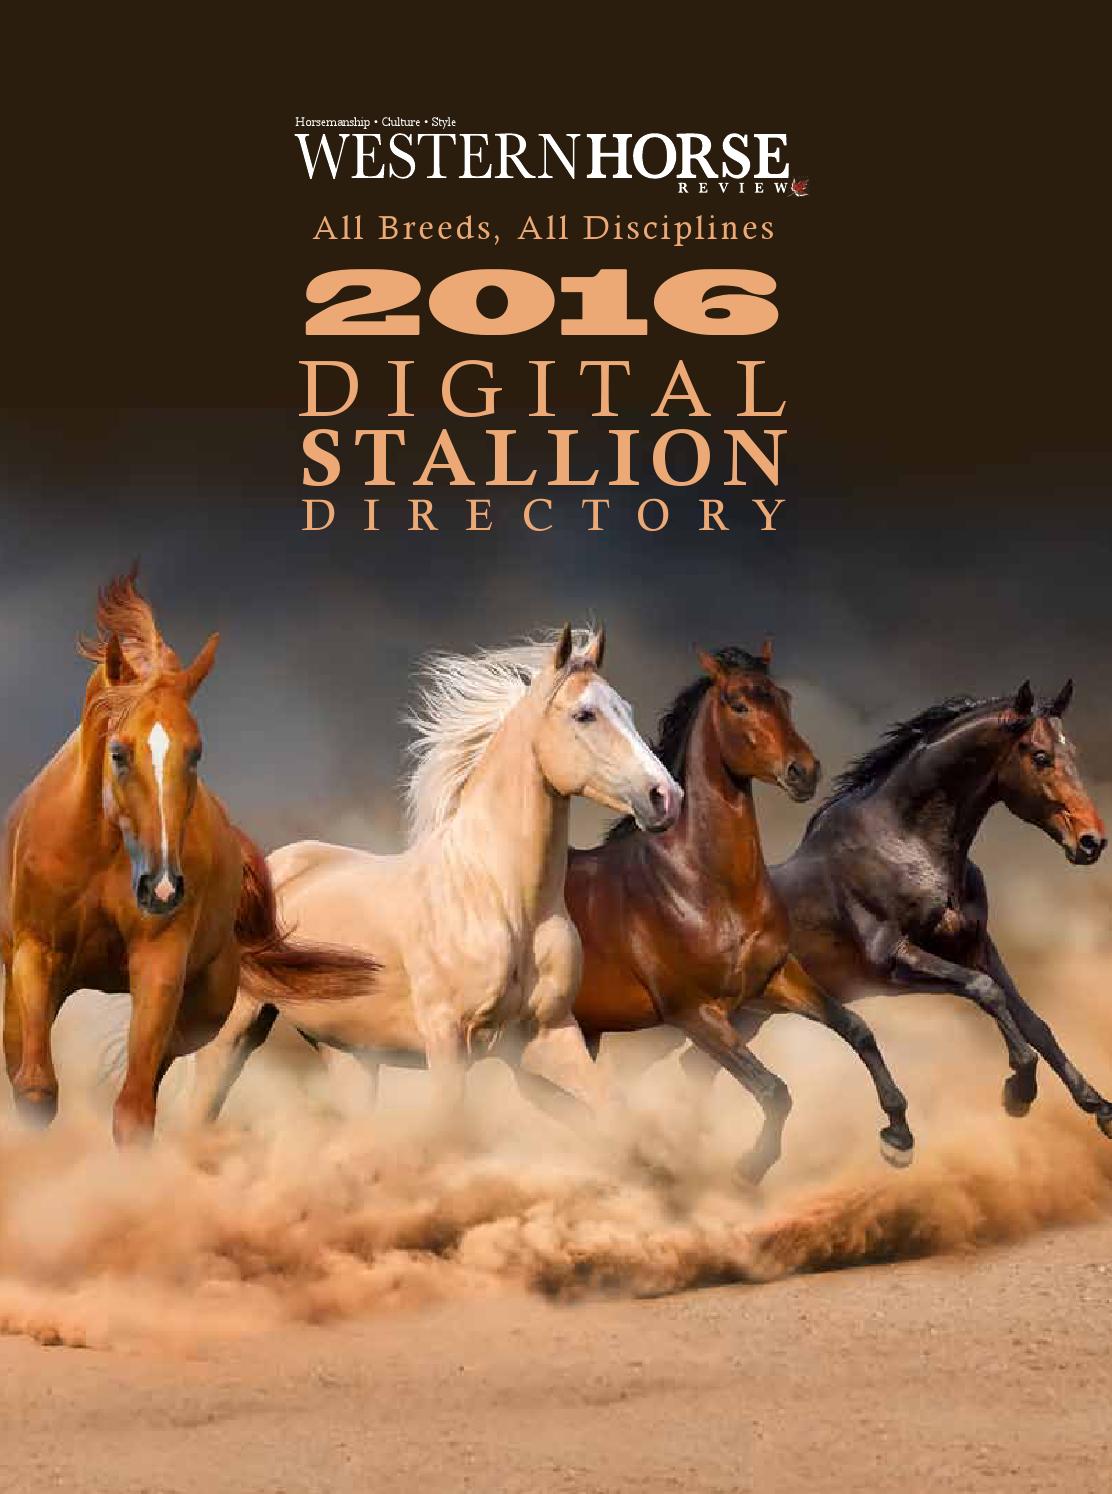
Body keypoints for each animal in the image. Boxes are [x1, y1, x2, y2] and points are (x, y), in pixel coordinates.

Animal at [0, 571, 378, 1142]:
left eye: (195, 752)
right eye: (119, 752)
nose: (161, 888)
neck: (102, 854)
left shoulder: (160, 964)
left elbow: (134, 1109)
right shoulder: (37, 955)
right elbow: (37, 1089)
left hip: (205, 1010)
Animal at [188, 625, 683, 1126]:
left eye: (627, 710)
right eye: (585, 715)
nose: (665, 797)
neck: (501, 898)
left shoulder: (549, 1035)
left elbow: (613, 1108)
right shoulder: (447, 1038)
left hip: (347, 1053)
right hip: (235, 1029)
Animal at [567, 642, 917, 1182]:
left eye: (784, 698)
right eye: (738, 704)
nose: (803, 771)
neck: (702, 887)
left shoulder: (774, 978)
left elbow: (856, 1029)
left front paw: (898, 1137)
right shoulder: (695, 1013)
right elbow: (773, 1089)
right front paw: (751, 1166)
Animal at [766, 679, 1112, 1134]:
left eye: (1074, 753)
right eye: (1040, 756)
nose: (1092, 842)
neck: (907, 844)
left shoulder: (975, 946)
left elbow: (1034, 1022)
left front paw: (1099, 1106)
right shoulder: (895, 959)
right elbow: (986, 991)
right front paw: (1019, 1089)